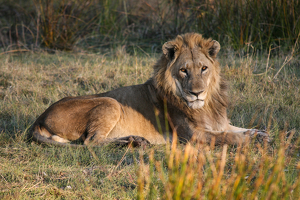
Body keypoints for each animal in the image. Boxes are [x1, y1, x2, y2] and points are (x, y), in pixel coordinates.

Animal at [31, 32, 270, 146]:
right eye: (183, 71)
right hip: (110, 102)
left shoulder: (218, 122)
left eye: (204, 68)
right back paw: (133, 142)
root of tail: (39, 118)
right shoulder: (191, 135)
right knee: (91, 142)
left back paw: (135, 140)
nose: (196, 93)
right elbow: (226, 137)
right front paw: (253, 140)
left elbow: (234, 128)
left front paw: (260, 133)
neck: (206, 105)